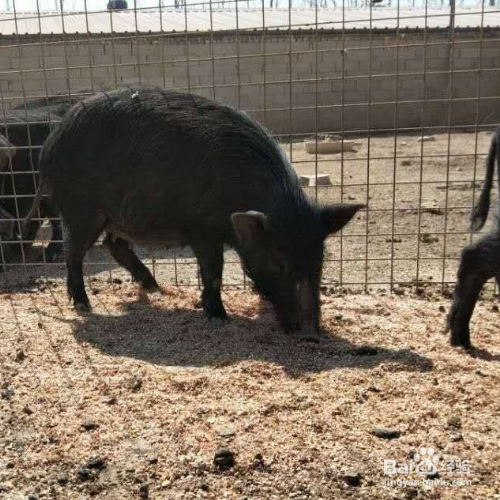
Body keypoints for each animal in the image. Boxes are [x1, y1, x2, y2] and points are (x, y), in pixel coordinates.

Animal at [26, 88, 364, 334]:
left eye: (320, 259)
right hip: (81, 209)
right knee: (73, 252)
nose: (310, 330)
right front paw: (219, 317)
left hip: (116, 216)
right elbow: (213, 273)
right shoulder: (203, 229)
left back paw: (155, 288)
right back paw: (84, 305)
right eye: (277, 260)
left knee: (115, 245)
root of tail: (48, 149)